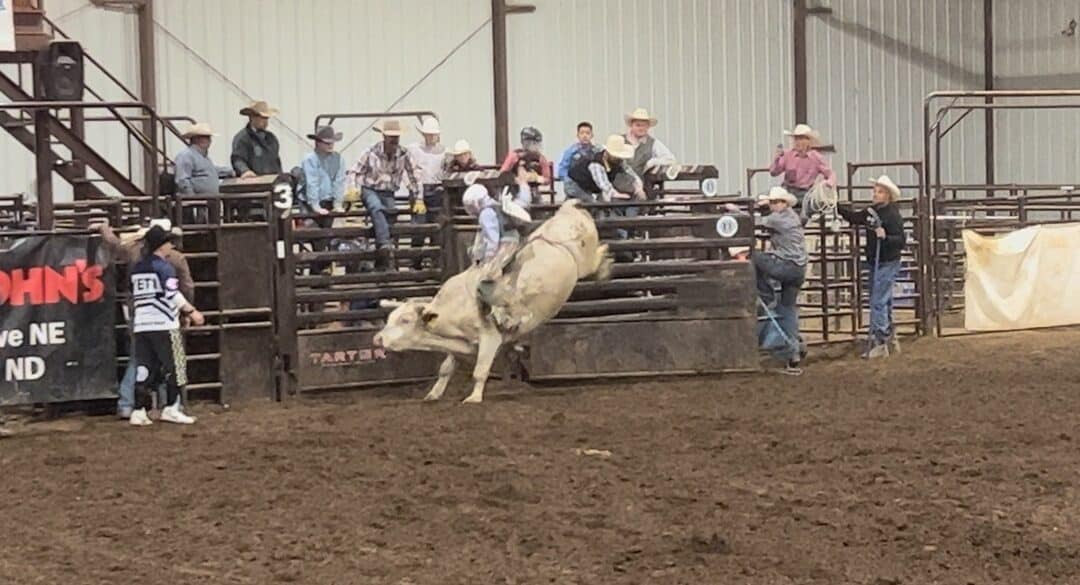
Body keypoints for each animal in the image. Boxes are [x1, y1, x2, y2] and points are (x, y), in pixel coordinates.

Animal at [373, 200, 613, 403]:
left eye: (404, 320)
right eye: (390, 318)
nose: (377, 339)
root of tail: (568, 207)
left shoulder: (490, 337)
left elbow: (480, 371)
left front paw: (473, 398)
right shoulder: (461, 345)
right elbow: (445, 368)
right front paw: (433, 394)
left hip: (584, 260)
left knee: (596, 258)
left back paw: (605, 263)